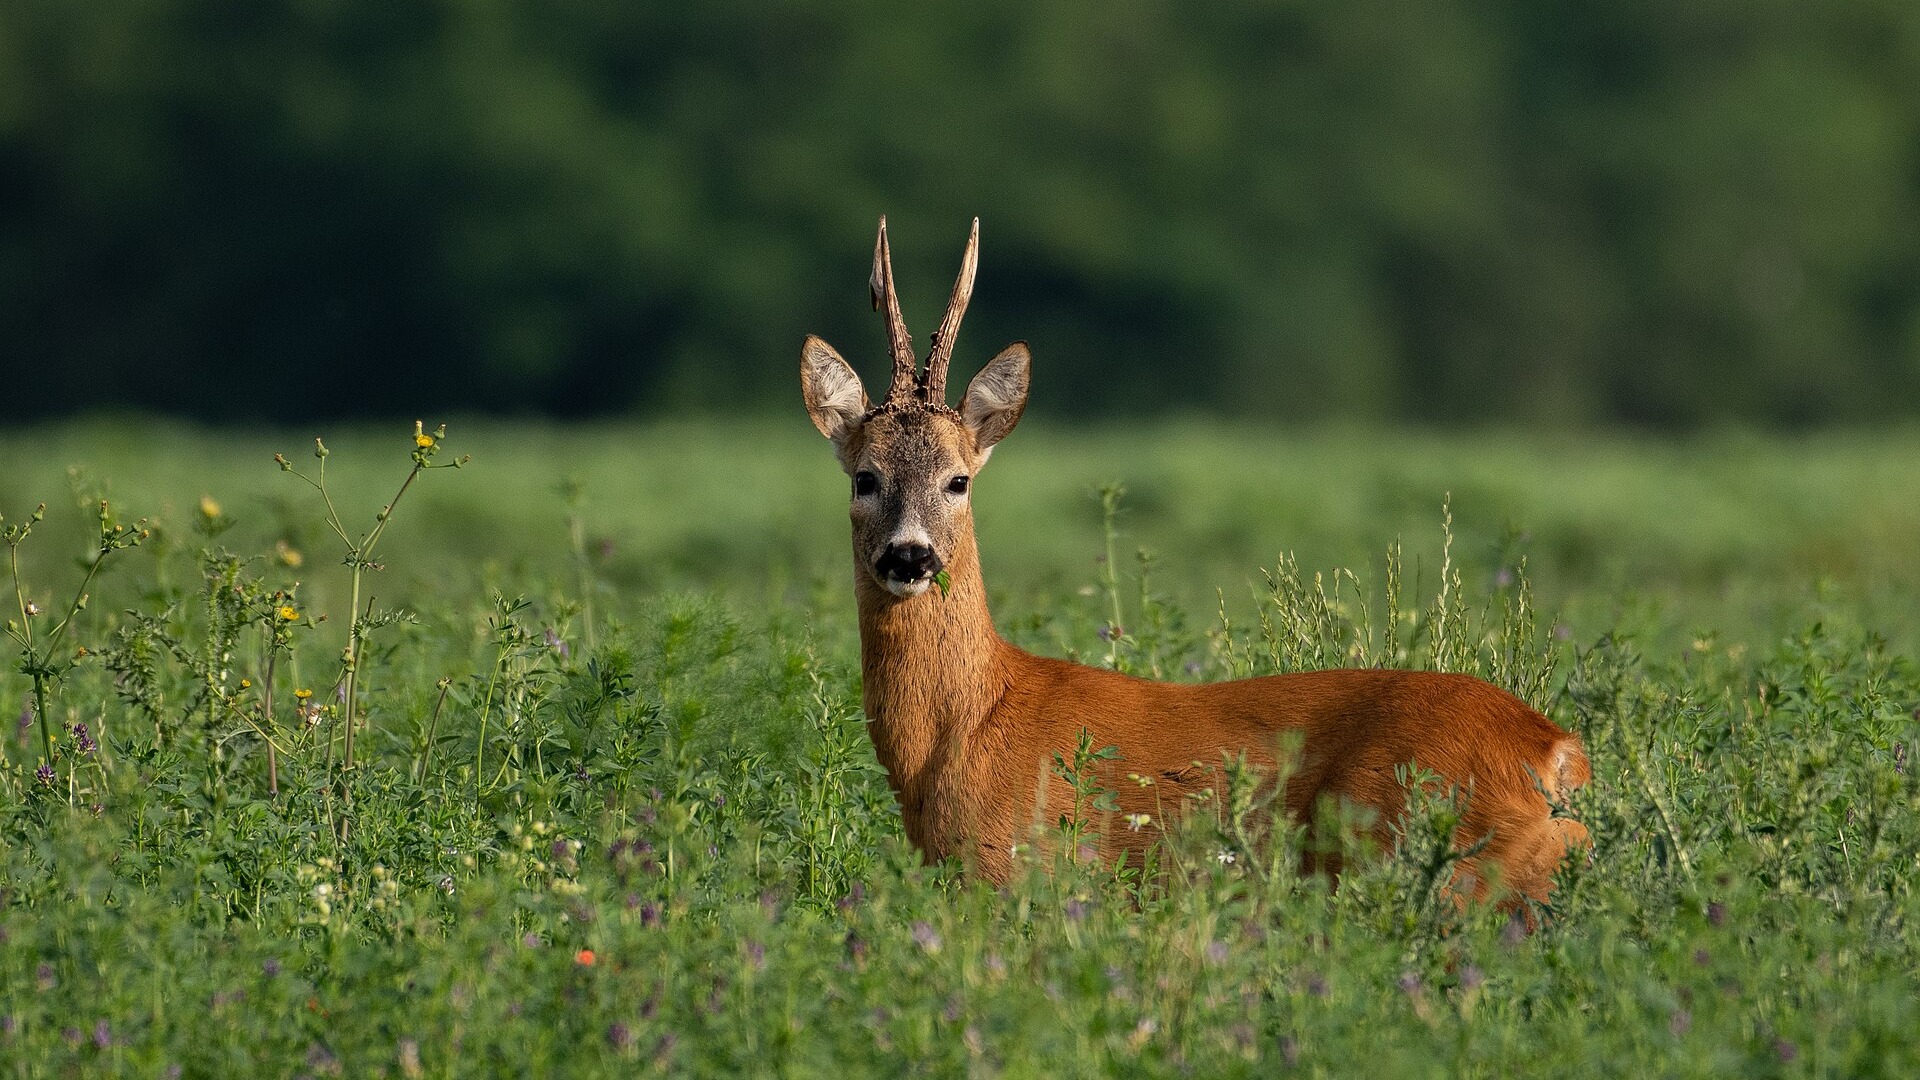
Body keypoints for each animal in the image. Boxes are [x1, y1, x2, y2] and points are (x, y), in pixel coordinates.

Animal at [799, 217, 1591, 909]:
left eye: (958, 480)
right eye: (864, 478)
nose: (909, 554)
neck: (968, 729)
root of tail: (1557, 752)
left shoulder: (1016, 875)